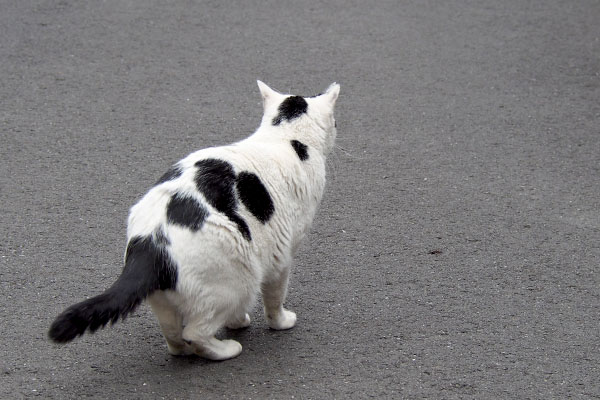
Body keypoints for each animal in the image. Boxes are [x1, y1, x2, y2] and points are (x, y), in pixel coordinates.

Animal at [49, 79, 340, 360]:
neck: (285, 137)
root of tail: (150, 244)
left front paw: (237, 322)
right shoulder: (282, 253)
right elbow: (275, 296)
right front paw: (280, 322)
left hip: (164, 300)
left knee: (174, 337)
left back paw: (188, 348)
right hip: (237, 277)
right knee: (195, 332)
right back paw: (225, 350)